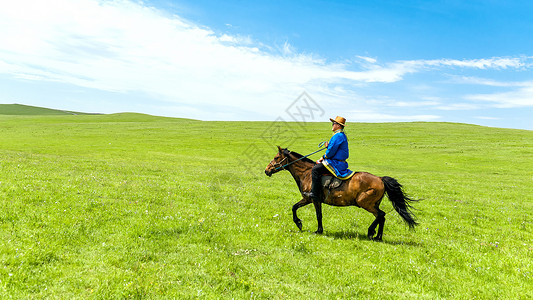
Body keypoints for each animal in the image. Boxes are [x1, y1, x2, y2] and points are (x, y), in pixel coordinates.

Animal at [264, 146, 418, 240]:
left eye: (276, 157)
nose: (267, 170)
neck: (306, 173)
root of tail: (380, 179)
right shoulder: (307, 199)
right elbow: (294, 207)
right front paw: (299, 223)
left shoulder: (314, 199)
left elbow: (318, 215)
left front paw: (317, 230)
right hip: (373, 204)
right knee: (382, 217)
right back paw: (377, 237)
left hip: (365, 203)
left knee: (381, 215)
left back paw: (371, 232)